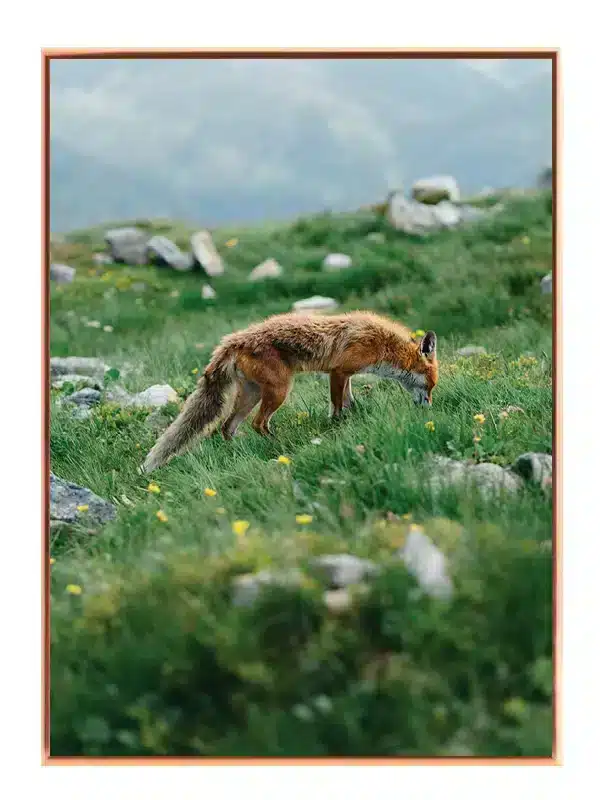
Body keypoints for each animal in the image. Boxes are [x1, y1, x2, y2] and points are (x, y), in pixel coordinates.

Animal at [142, 310, 438, 473]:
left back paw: (240, 452)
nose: (428, 409)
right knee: (258, 423)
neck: (383, 345)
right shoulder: (338, 372)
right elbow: (337, 408)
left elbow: (349, 403)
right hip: (279, 390)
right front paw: (337, 427)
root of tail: (233, 340)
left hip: (252, 394)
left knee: (228, 427)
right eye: (431, 385)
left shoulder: (344, 376)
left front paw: (353, 419)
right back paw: (278, 446)